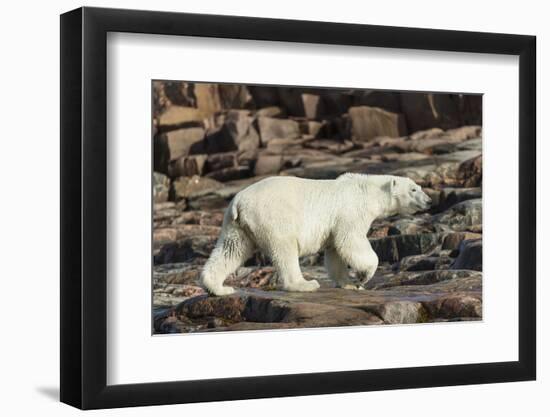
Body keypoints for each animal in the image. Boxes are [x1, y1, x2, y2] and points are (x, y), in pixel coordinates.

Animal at [201, 173, 434, 296]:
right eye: (414, 189)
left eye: (419, 187)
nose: (429, 201)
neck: (368, 190)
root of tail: (238, 201)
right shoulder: (351, 211)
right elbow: (351, 241)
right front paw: (363, 276)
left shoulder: (335, 224)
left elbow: (336, 251)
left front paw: (347, 282)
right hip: (273, 216)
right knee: (285, 249)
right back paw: (305, 284)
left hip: (237, 225)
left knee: (231, 250)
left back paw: (219, 288)